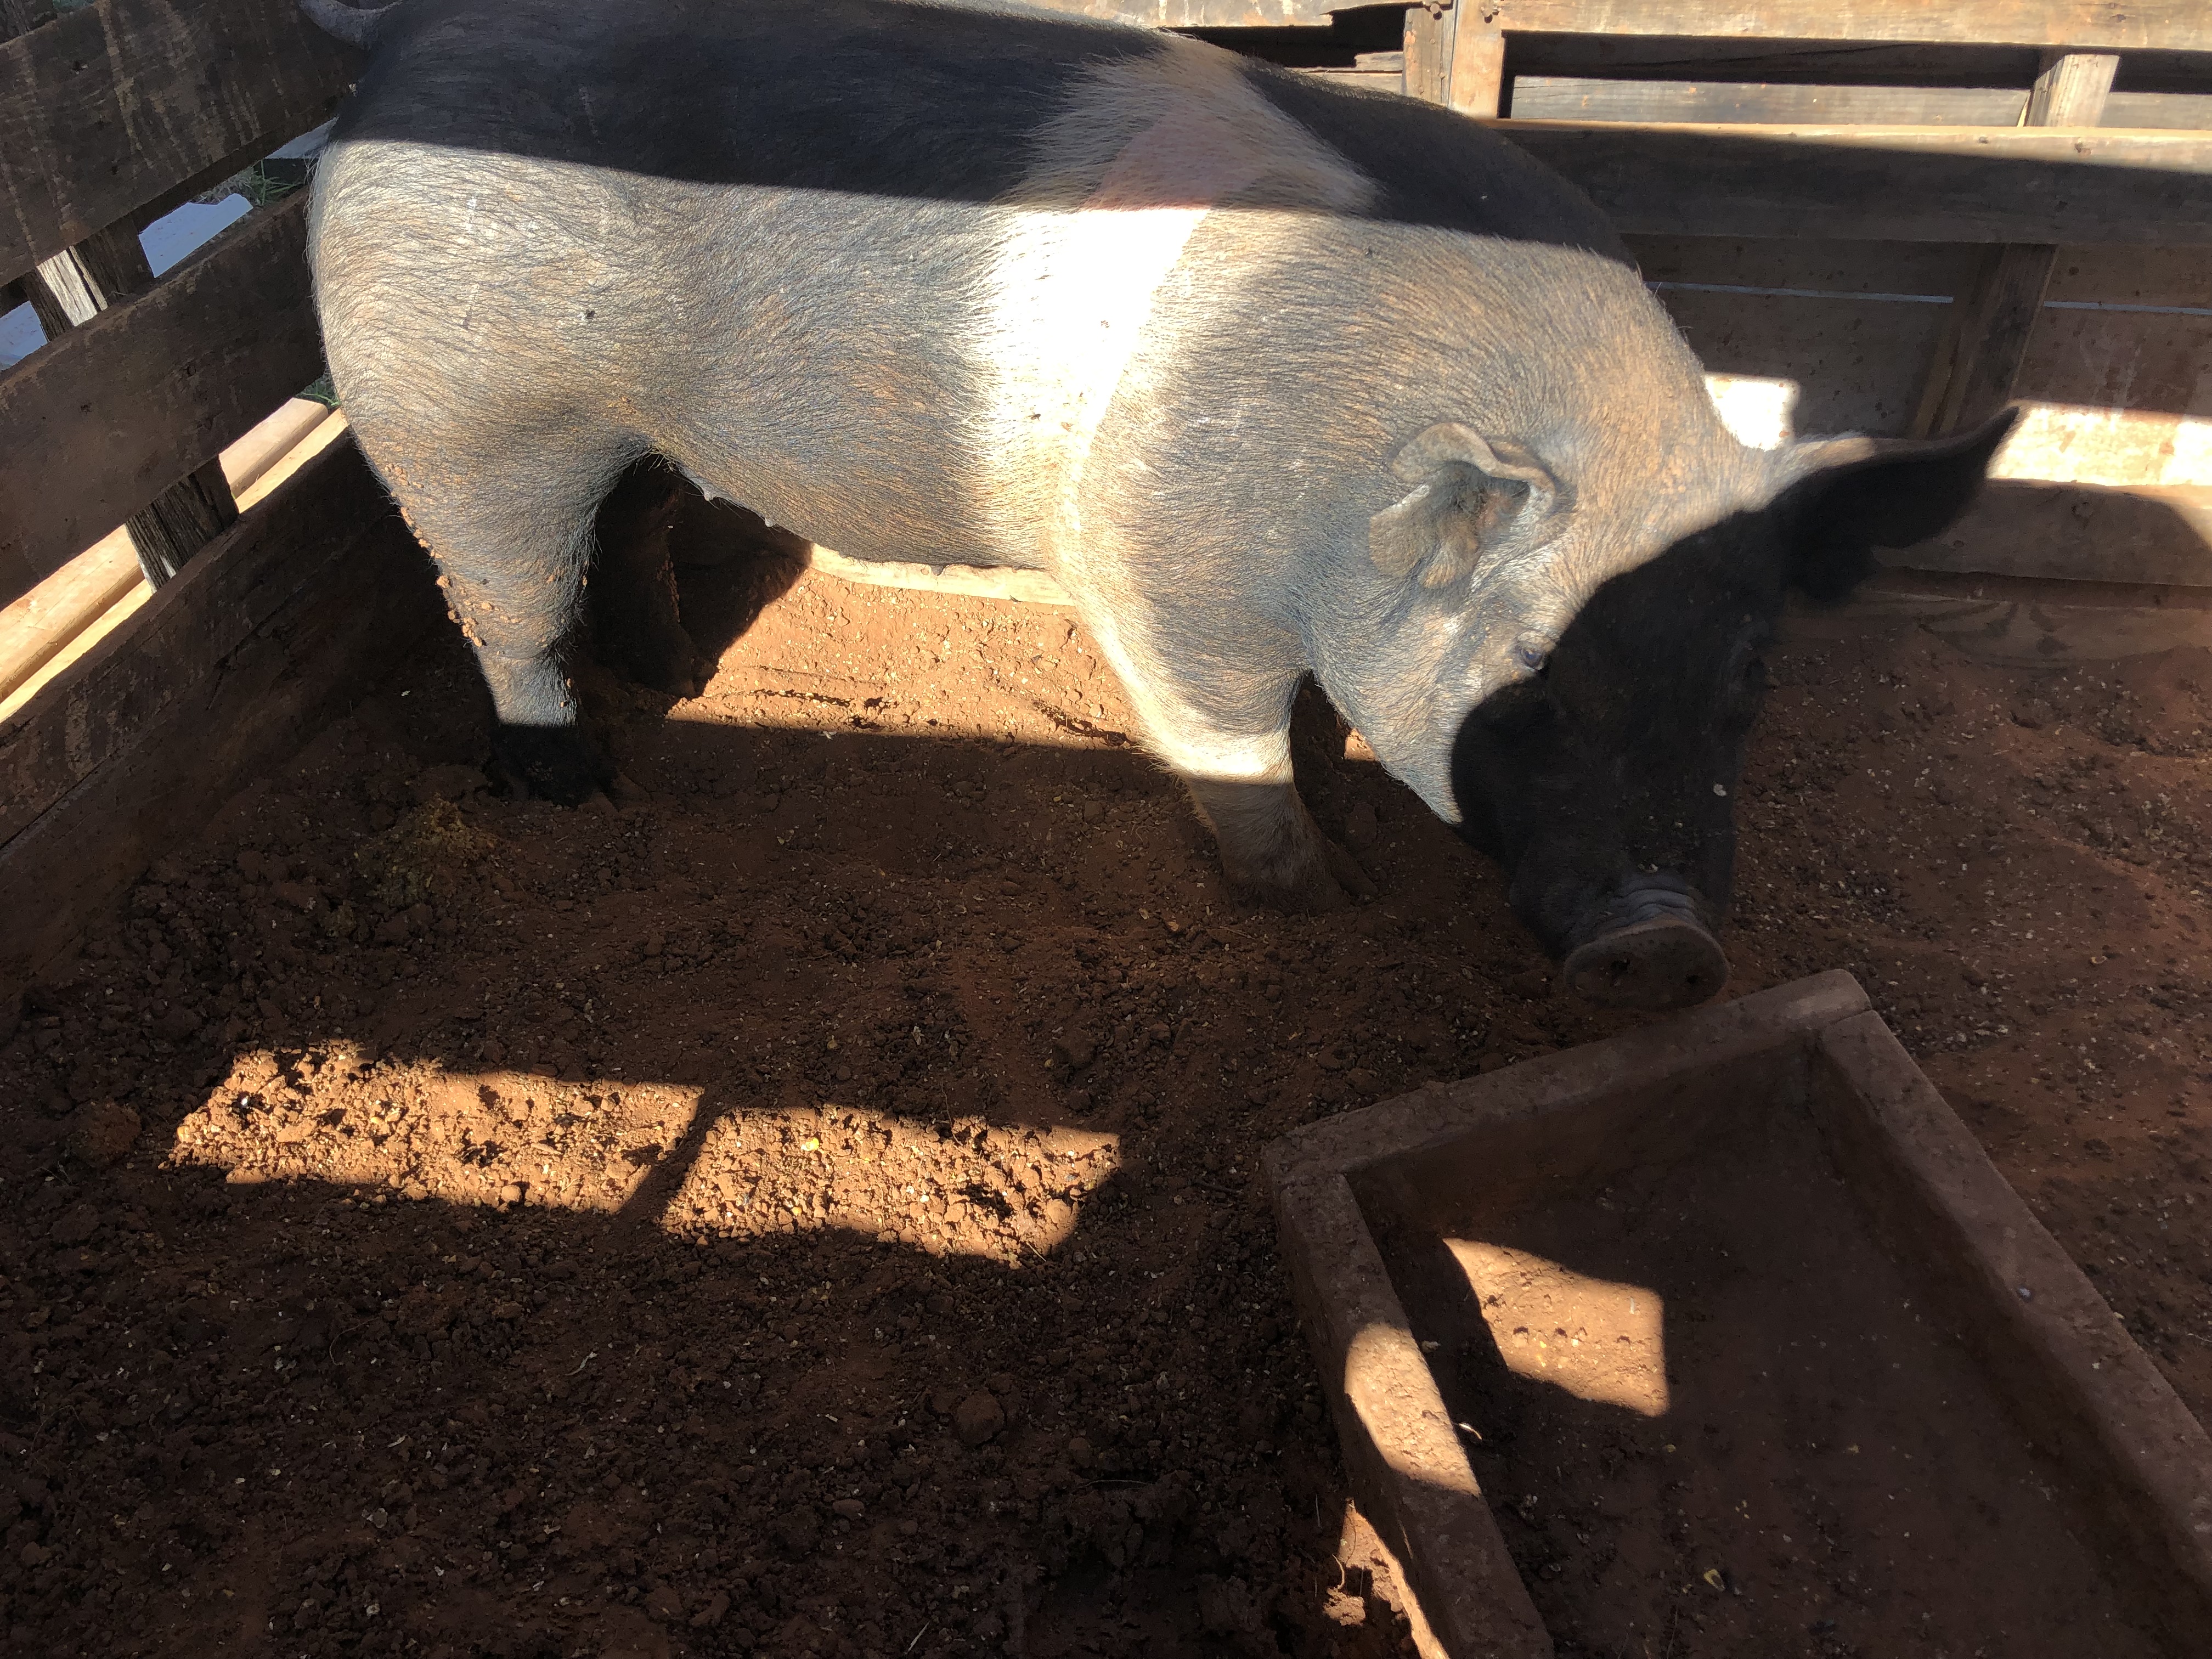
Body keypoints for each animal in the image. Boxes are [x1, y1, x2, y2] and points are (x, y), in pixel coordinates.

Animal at [300, 0, 2012, 1009]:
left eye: (1752, 680)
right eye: (1531, 683)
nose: (1663, 934)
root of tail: (411, 41)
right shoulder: (1162, 562)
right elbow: (1233, 749)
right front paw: (1325, 901)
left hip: (627, 433)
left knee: (637, 537)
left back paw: (679, 678)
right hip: (462, 419)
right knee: (503, 602)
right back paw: (575, 786)